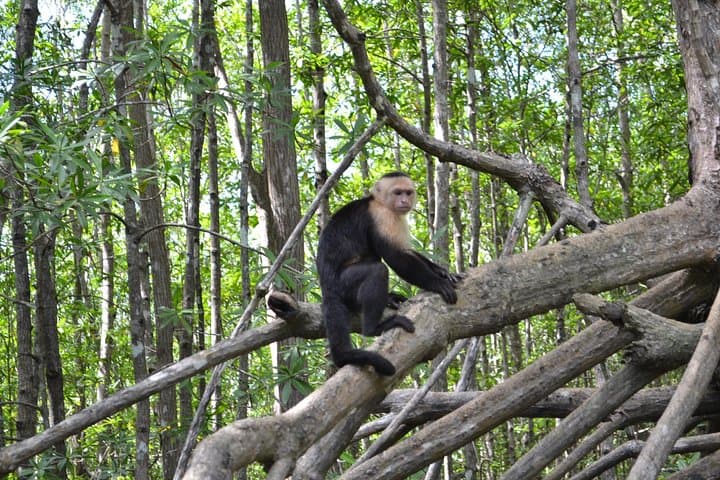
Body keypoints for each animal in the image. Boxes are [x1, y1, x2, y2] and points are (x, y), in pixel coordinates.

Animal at [316, 171, 461, 376]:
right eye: (397, 192)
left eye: (408, 192)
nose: (404, 201)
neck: (380, 202)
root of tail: (326, 285)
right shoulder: (383, 216)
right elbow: (396, 257)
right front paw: (437, 283)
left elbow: (406, 252)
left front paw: (443, 272)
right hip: (342, 284)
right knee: (378, 270)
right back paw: (374, 328)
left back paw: (389, 298)